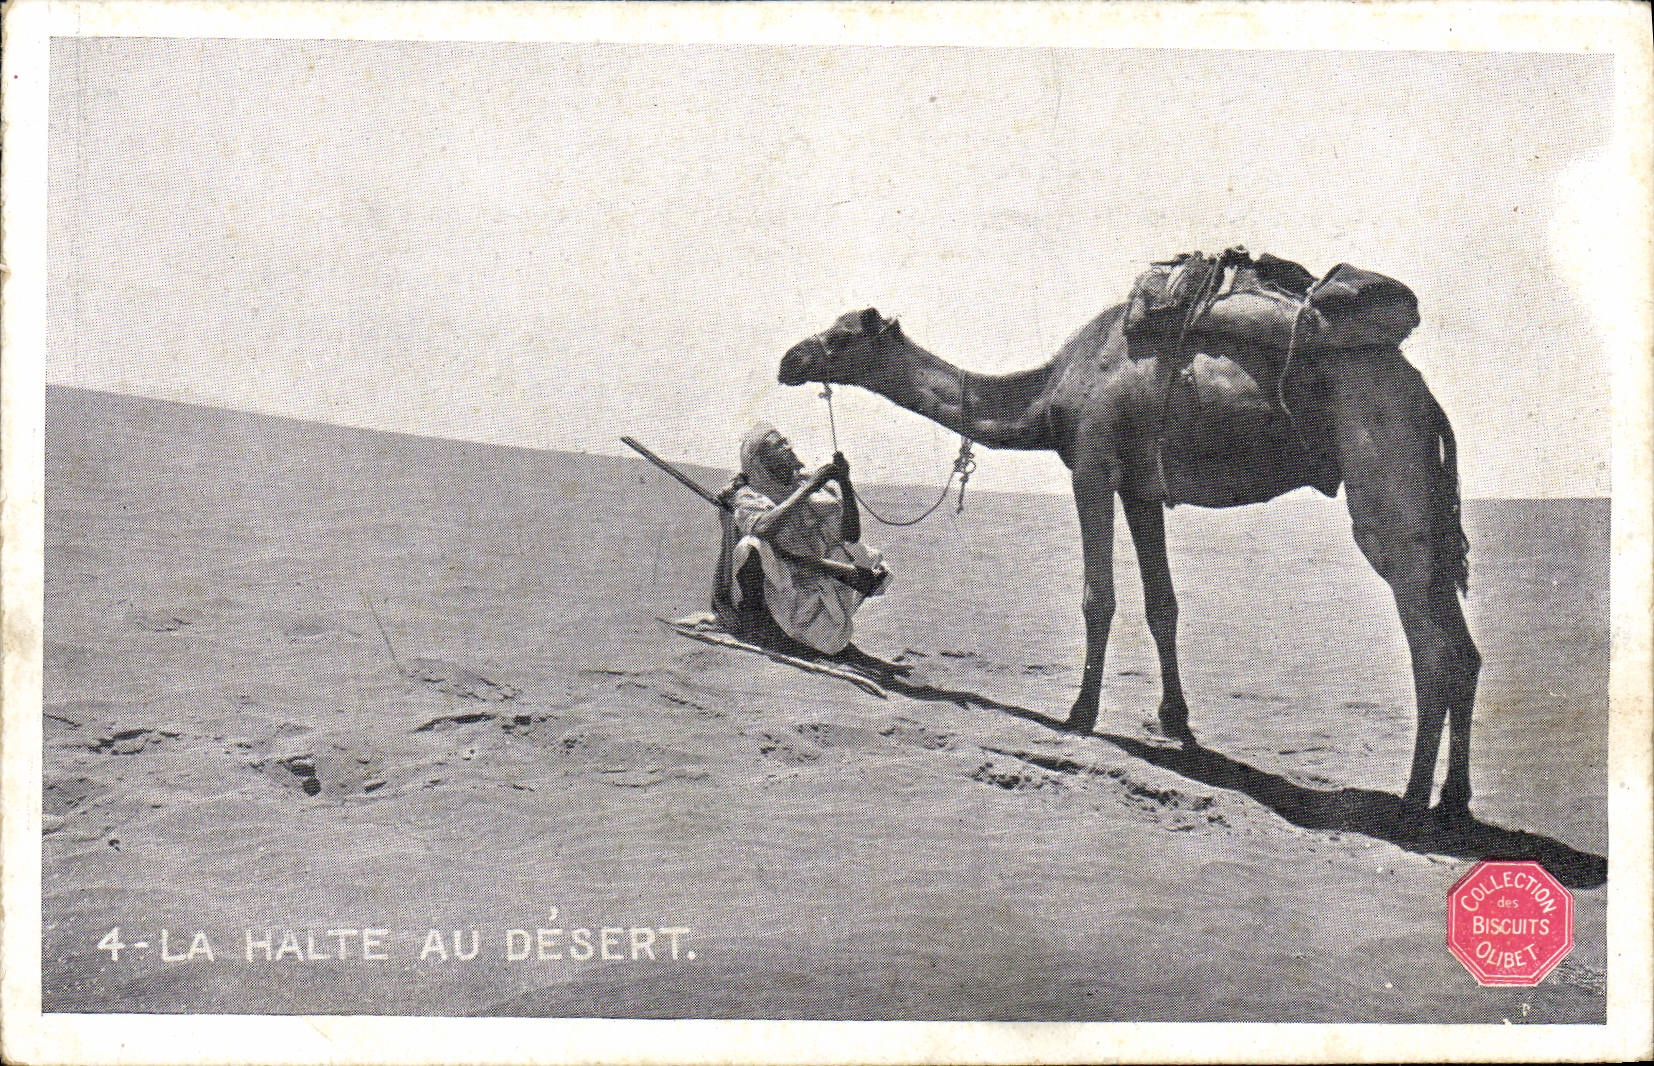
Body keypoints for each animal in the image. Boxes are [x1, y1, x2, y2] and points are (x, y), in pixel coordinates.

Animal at [779, 302, 1481, 814]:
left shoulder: (1093, 465)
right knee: (1462, 647)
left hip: (1384, 476)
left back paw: (1411, 801)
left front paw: (1079, 715)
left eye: (841, 338)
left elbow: (1100, 597)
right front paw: (1176, 722)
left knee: (1431, 646)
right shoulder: (1143, 488)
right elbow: (1161, 604)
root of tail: (1428, 403)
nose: (789, 358)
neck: (1051, 392)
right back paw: (1454, 800)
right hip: (1421, 501)